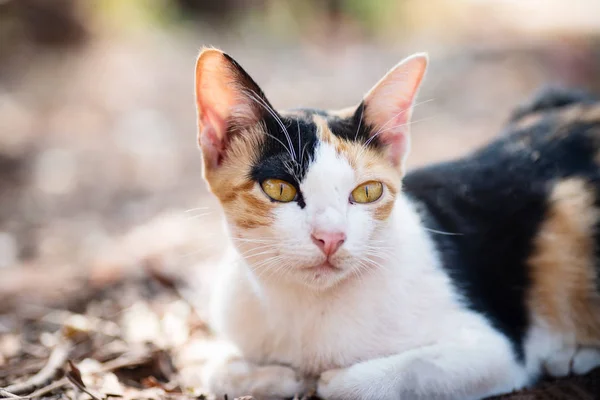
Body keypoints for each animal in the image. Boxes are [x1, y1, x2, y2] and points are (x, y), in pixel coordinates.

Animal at [193, 47, 600, 400]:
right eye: (279, 189)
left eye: (367, 192)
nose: (331, 238)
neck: (309, 312)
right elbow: (215, 371)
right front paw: (282, 376)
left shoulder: (496, 351)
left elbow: (398, 372)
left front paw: (326, 380)